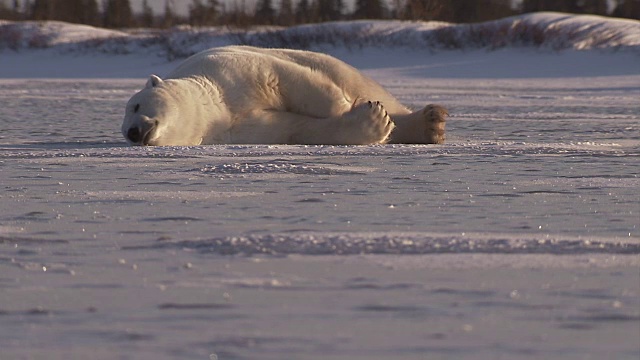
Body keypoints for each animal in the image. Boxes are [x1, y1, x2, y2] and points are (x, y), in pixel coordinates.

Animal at [122, 45, 448, 146]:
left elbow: (286, 80)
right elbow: (295, 129)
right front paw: (373, 121)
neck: (216, 107)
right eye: (125, 130)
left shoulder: (229, 70)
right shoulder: (236, 131)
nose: (133, 132)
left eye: (135, 105)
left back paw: (430, 120)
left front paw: (350, 106)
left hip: (329, 62)